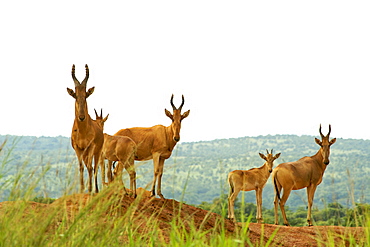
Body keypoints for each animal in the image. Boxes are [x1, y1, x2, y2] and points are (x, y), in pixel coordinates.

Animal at [66, 64, 103, 194]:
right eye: (75, 96)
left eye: (86, 95)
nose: (81, 117)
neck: (82, 131)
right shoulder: (78, 149)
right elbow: (81, 167)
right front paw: (82, 190)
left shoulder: (91, 147)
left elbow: (91, 167)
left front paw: (90, 189)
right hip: (85, 153)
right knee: (88, 166)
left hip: (97, 152)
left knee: (95, 167)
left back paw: (96, 190)